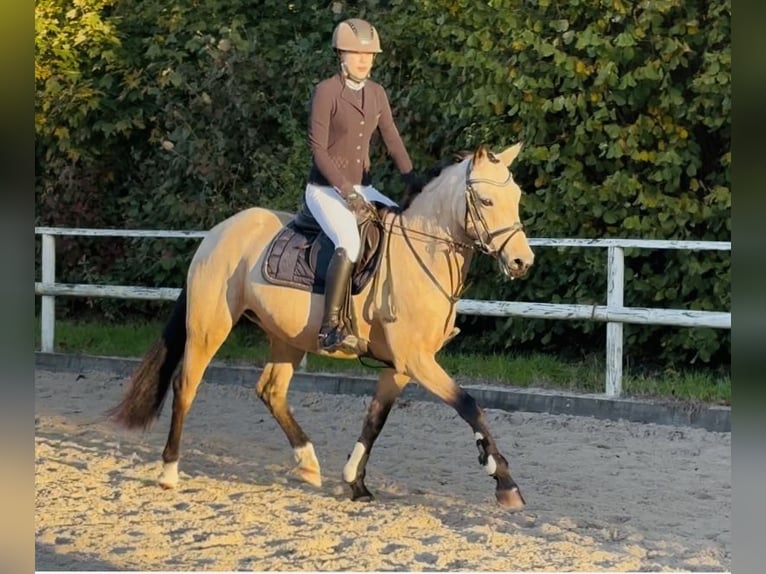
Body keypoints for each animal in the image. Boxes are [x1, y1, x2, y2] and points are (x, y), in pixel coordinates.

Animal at [108, 142, 536, 510]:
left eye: (516, 198)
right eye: (486, 201)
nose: (522, 261)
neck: (421, 254)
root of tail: (217, 232)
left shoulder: (402, 367)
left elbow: (375, 419)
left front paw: (355, 482)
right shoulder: (416, 360)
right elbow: (470, 406)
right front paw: (505, 481)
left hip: (288, 337)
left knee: (271, 390)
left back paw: (308, 462)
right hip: (209, 327)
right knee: (186, 386)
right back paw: (169, 471)